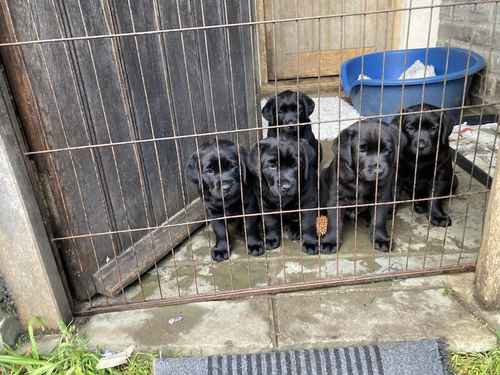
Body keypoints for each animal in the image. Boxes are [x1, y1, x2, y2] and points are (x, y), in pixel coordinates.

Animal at [320, 122, 402, 254]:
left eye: (386, 150)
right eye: (362, 149)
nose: (379, 171)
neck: (361, 180)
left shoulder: (381, 197)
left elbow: (379, 219)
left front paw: (381, 239)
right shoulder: (335, 199)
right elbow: (334, 222)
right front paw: (330, 241)